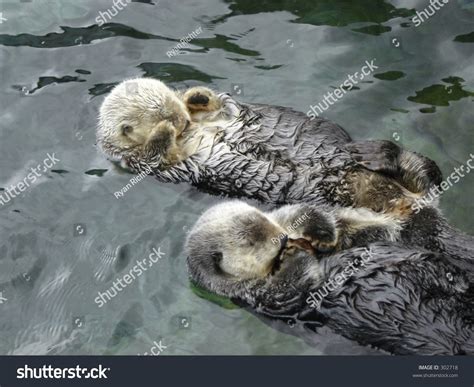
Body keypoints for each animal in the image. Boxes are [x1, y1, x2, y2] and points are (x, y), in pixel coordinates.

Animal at [95, 76, 440, 217]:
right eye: (167, 115)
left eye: (175, 104)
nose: (182, 120)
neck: (192, 130)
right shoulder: (145, 164)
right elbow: (156, 156)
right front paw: (162, 131)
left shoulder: (221, 113)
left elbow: (221, 104)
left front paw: (196, 96)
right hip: (343, 195)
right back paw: (378, 156)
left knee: (426, 171)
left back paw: (374, 152)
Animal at [186, 202, 474, 356]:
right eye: (250, 242)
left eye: (261, 218)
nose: (283, 239)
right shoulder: (261, 297)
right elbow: (290, 288)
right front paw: (294, 256)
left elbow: (330, 223)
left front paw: (317, 230)